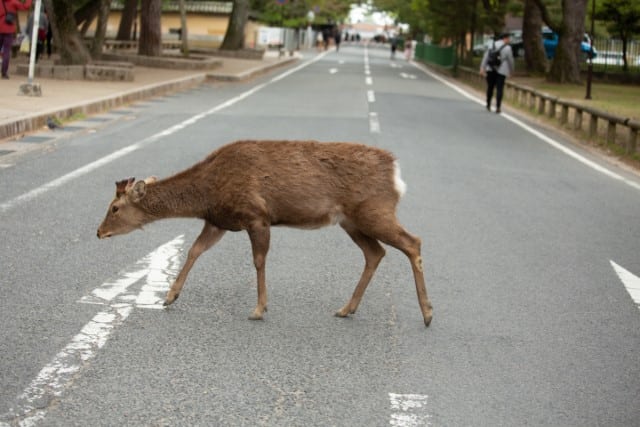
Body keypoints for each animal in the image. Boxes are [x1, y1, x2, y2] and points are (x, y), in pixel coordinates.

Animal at [96, 140, 436, 328]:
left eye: (114, 207)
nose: (98, 232)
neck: (207, 194)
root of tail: (396, 175)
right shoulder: (218, 221)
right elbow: (194, 250)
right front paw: (169, 296)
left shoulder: (256, 215)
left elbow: (259, 261)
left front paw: (259, 308)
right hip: (351, 221)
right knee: (375, 252)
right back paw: (346, 309)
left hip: (374, 210)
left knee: (412, 242)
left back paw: (428, 313)